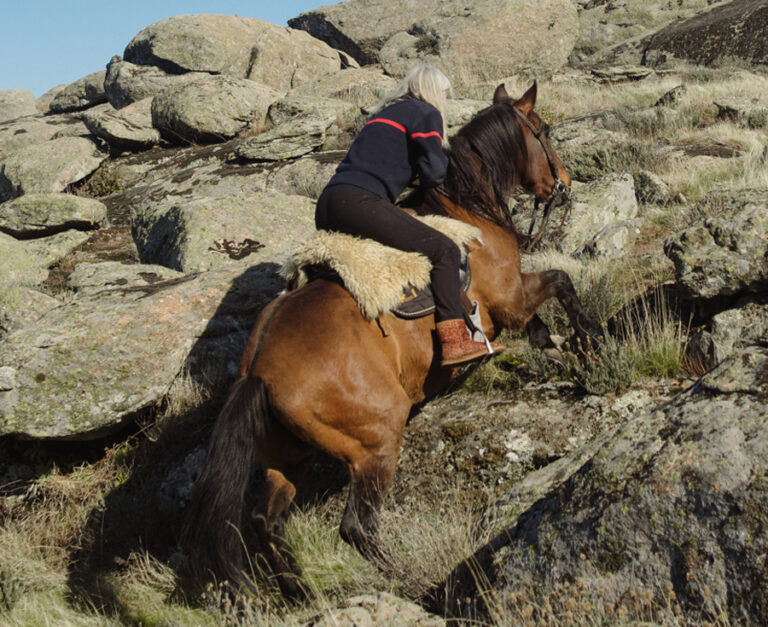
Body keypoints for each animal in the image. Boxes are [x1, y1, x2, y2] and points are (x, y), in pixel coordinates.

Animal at [181, 82, 603, 597]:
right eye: (542, 131)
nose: (564, 184)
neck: (466, 210)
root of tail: (256, 371)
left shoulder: (512, 303)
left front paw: (554, 343)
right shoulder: (510, 298)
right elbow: (561, 282)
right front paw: (588, 339)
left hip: (287, 457)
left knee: (267, 521)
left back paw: (302, 592)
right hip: (377, 441)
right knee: (356, 527)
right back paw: (402, 579)